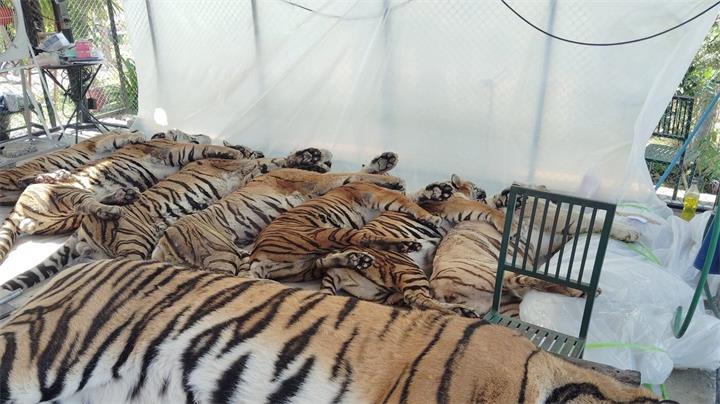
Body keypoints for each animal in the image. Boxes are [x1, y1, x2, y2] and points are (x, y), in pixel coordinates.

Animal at [0, 138, 260, 266]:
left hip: (65, 218)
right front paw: (235, 152)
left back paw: (123, 195)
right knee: (87, 204)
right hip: (68, 195)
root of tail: (17, 208)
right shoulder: (176, 150)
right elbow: (206, 147)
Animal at [151, 152, 405, 273]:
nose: (325, 162)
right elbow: (354, 174)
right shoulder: (318, 180)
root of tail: (162, 247)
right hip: (220, 255)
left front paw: (385, 161)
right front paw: (394, 180)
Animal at [429, 185, 641, 317]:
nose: (506, 192)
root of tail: (436, 289)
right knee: (531, 280)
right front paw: (630, 232)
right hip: (493, 271)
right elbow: (593, 219)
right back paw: (584, 291)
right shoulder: (558, 218)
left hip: (506, 302)